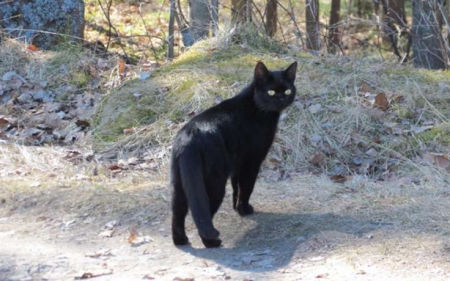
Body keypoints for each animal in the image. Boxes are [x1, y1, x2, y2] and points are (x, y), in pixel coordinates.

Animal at [171, 61, 298, 247]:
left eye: (287, 91)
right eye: (271, 92)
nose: (282, 99)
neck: (255, 107)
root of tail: (189, 137)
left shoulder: (237, 163)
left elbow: (236, 187)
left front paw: (237, 209)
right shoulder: (252, 160)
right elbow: (247, 187)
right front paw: (245, 209)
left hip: (180, 182)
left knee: (177, 212)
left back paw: (180, 241)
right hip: (214, 183)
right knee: (203, 213)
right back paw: (212, 243)